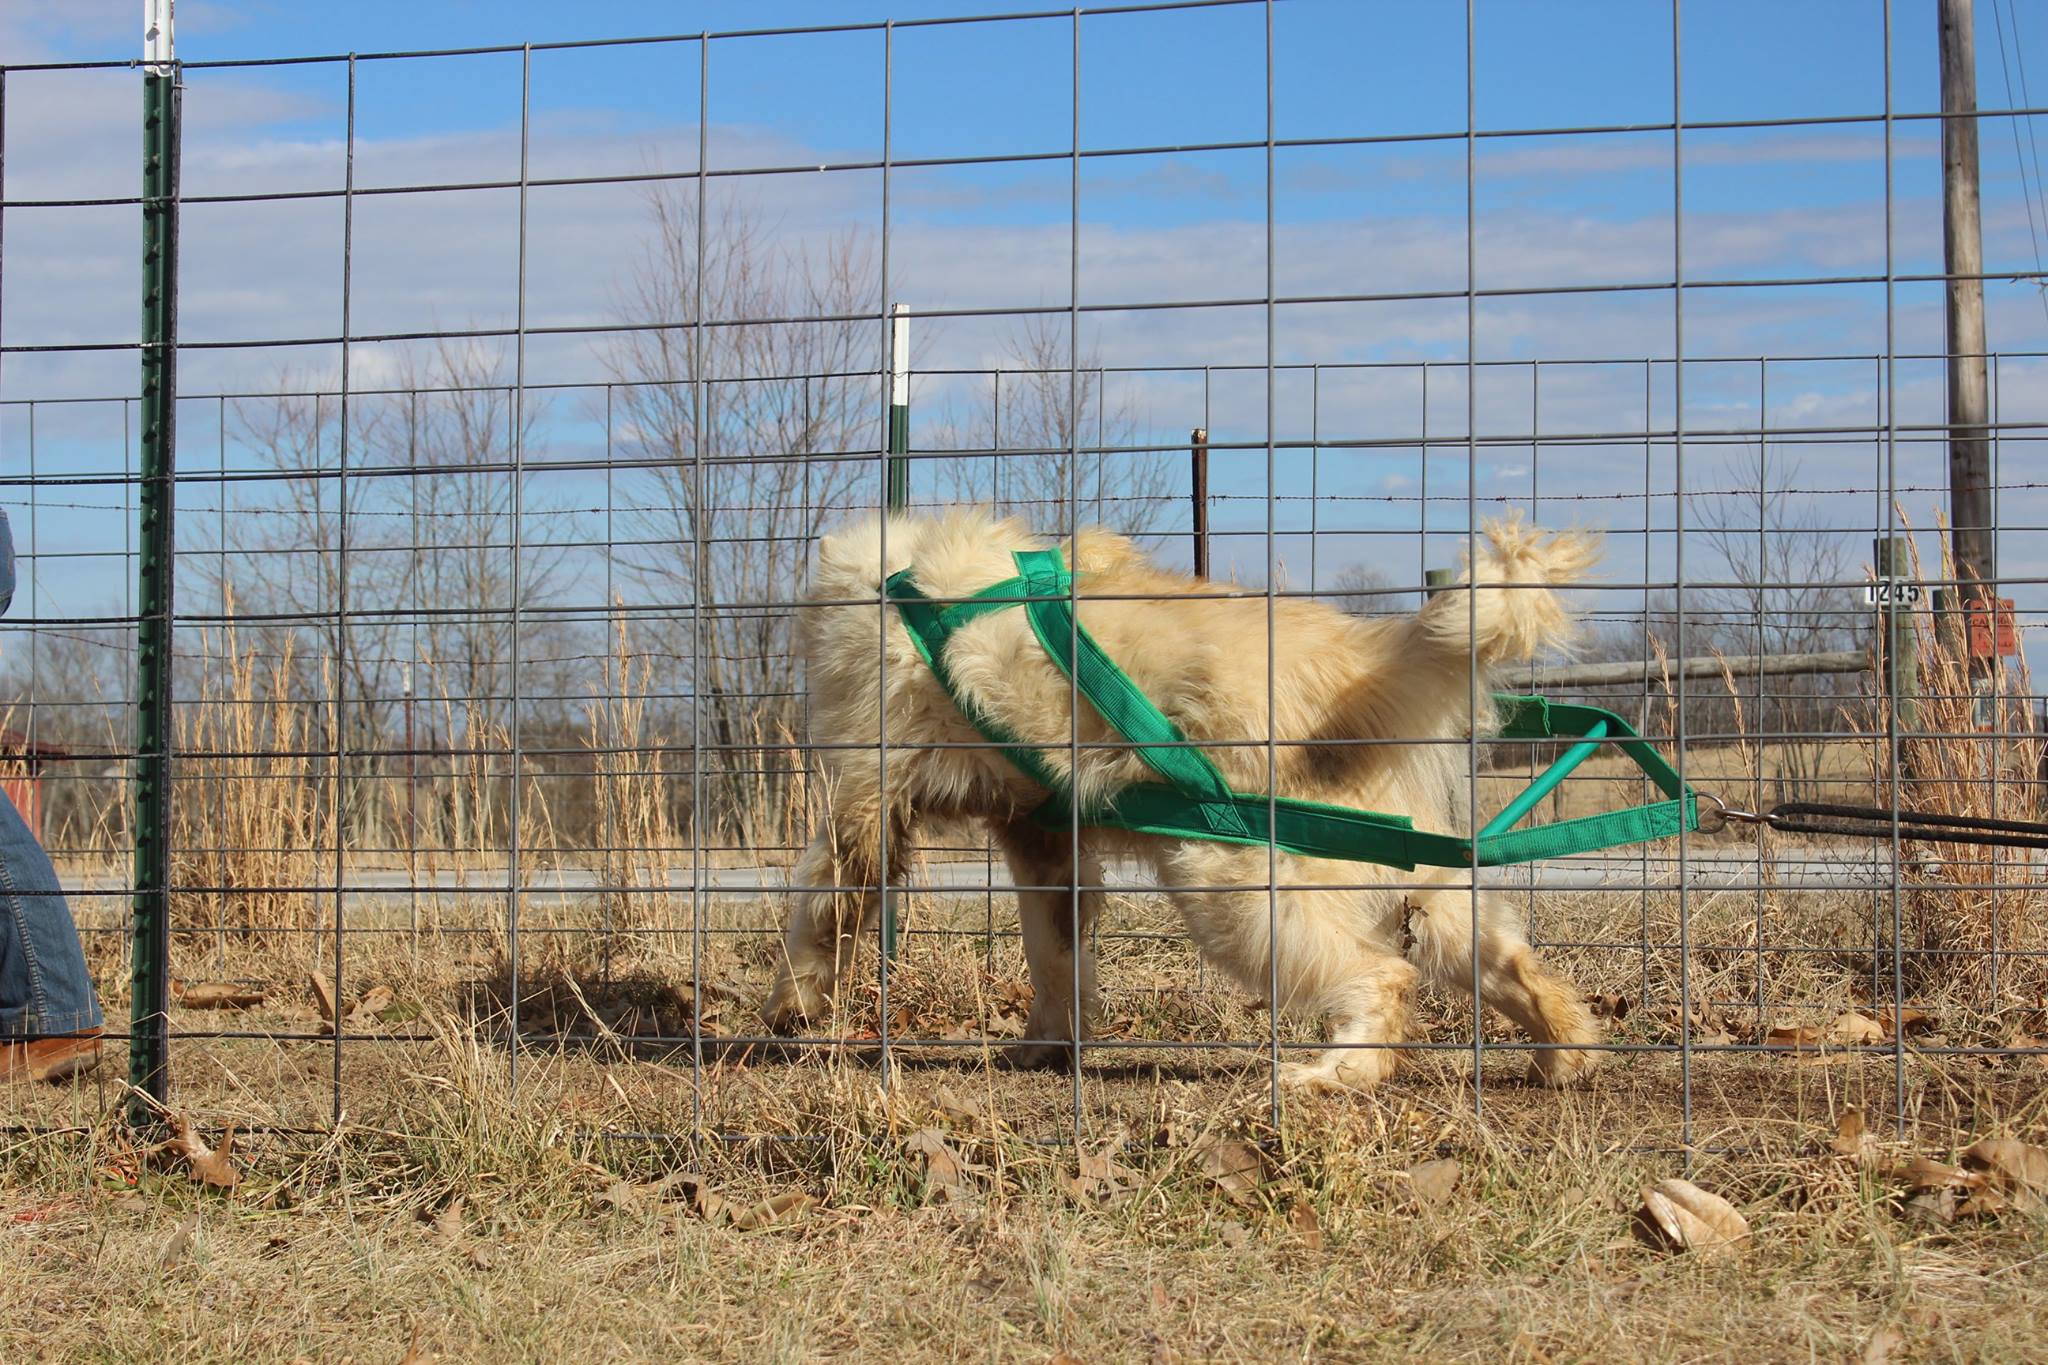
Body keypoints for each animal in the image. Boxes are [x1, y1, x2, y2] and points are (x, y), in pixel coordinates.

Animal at [761, 507, 1605, 1096]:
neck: (891, 589)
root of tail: (1365, 660)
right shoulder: (1041, 839)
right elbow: (1055, 957)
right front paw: (1048, 1044)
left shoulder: (867, 807)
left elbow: (817, 913)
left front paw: (789, 1007)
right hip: (1420, 882)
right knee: (1515, 967)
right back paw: (1566, 1052)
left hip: (1232, 877)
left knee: (1383, 978)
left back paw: (1332, 1074)